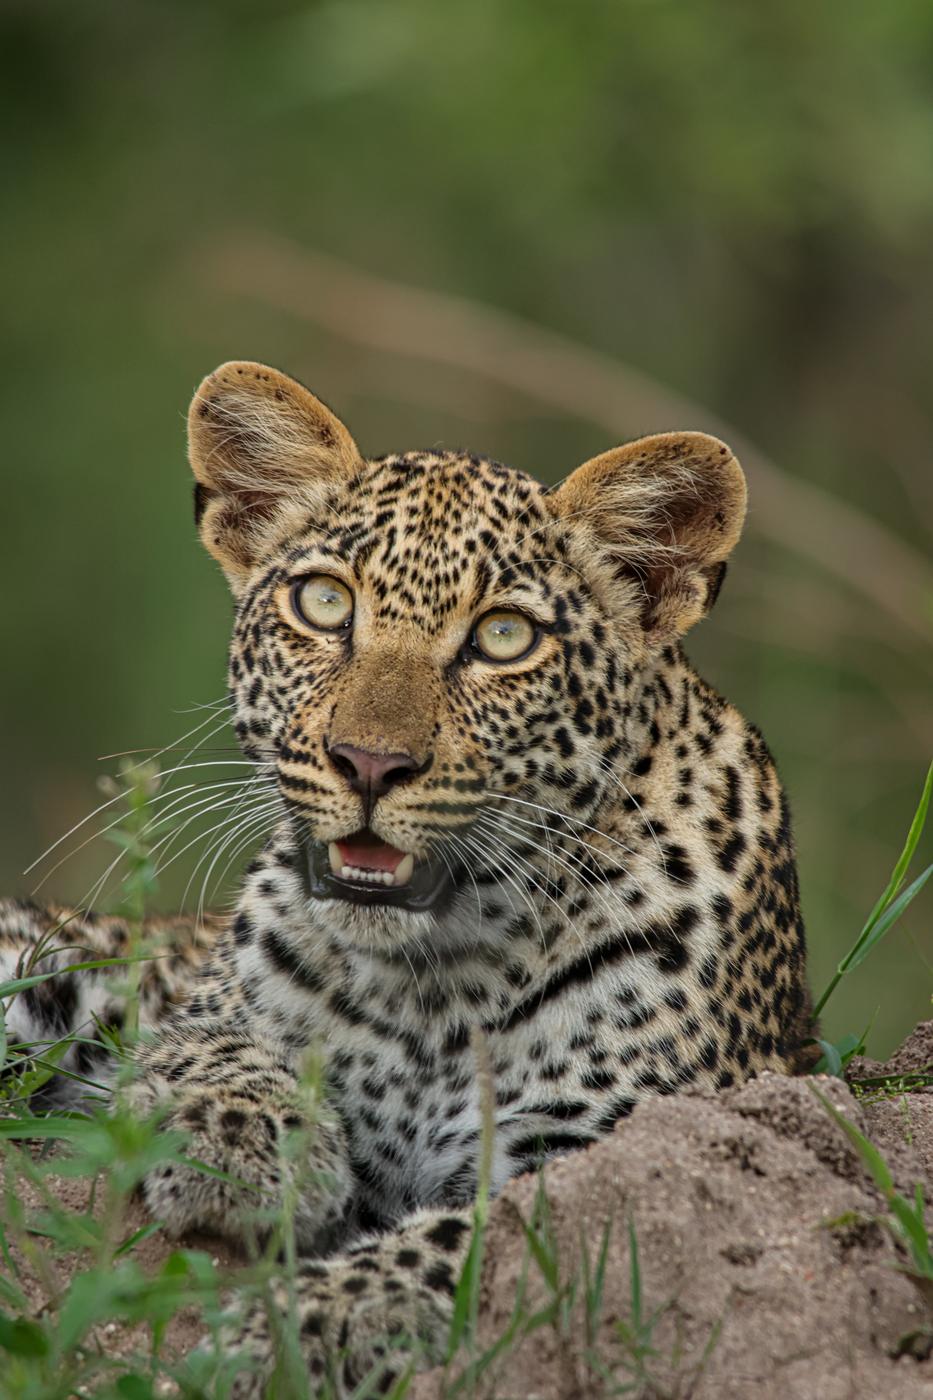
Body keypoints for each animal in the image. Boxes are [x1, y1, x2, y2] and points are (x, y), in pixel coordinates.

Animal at [1, 360, 812, 1395]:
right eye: (324, 605)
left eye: (503, 637)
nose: (368, 763)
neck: (439, 976)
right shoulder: (202, 1000)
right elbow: (215, 1045)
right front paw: (241, 1143)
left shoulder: (599, 1154)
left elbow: (458, 1245)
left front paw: (279, 1335)